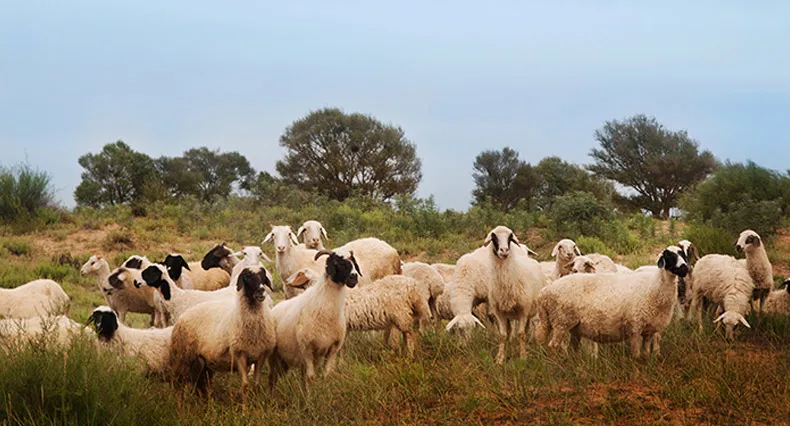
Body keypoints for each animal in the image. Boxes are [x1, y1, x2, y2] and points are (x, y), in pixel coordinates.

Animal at [169, 266, 276, 400]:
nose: (261, 290)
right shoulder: (239, 353)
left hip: (202, 362)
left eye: (263, 276)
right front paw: (245, 406)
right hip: (183, 356)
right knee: (177, 382)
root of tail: (183, 315)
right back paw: (178, 402)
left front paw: (257, 403)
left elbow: (256, 384)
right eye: (247, 277)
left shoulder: (260, 354)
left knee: (200, 384)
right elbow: (245, 385)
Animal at [270, 251, 362, 388]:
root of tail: (276, 307)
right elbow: (310, 377)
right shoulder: (307, 349)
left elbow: (327, 374)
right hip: (274, 355)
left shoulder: (333, 348)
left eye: (354, 263)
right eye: (337, 262)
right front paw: (310, 393)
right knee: (273, 377)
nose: (353, 278)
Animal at [536, 244, 688, 358]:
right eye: (669, 255)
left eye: (682, 254)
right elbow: (636, 355)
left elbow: (645, 354)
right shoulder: (635, 327)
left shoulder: (648, 330)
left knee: (573, 348)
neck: (655, 286)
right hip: (561, 322)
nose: (684, 269)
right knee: (553, 346)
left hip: (573, 327)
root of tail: (544, 292)